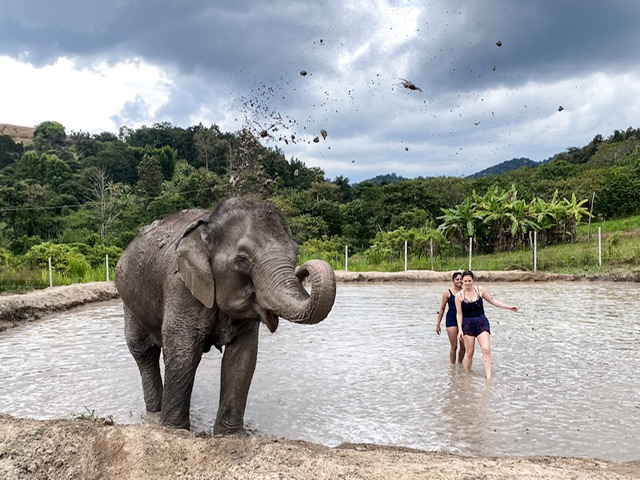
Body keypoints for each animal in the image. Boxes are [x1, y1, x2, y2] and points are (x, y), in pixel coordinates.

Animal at [115, 197, 338, 434]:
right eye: (242, 259)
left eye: (296, 252)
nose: (303, 270)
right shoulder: (180, 286)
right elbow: (184, 353)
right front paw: (175, 431)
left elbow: (242, 357)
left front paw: (232, 436)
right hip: (129, 301)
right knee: (143, 351)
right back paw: (154, 414)